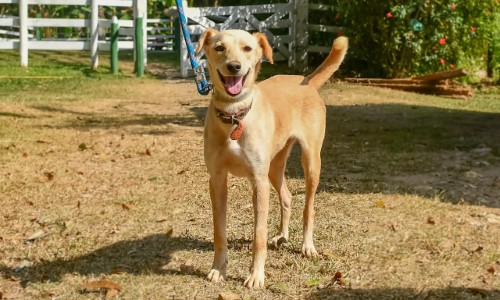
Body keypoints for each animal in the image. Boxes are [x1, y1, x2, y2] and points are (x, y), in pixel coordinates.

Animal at [195, 28, 348, 288]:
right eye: (219, 48)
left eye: (247, 48)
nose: (234, 66)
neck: (235, 116)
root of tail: (306, 81)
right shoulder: (216, 180)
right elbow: (219, 231)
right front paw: (218, 269)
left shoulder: (259, 181)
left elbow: (259, 234)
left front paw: (256, 275)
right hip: (275, 167)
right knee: (287, 197)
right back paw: (282, 236)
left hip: (310, 162)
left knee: (309, 208)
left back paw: (307, 246)